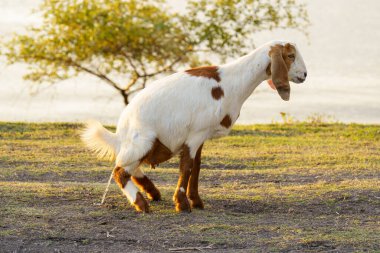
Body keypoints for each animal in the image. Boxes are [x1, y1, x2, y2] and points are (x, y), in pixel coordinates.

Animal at [81, 40, 308, 213]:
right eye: (290, 56)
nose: (305, 75)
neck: (232, 82)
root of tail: (120, 132)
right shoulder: (194, 135)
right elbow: (187, 167)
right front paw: (182, 204)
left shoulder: (201, 136)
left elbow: (197, 167)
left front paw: (196, 201)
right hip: (143, 140)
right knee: (120, 170)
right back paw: (141, 203)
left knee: (130, 167)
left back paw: (153, 192)